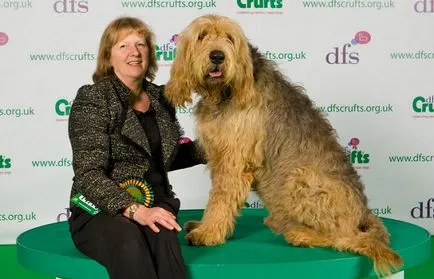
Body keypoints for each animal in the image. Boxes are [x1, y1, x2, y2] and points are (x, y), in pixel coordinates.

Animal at [164, 14, 402, 276]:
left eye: (229, 38)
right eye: (202, 36)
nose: (217, 56)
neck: (225, 92)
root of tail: (365, 212)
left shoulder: (234, 161)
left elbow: (221, 199)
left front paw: (208, 233)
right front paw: (204, 225)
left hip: (299, 179)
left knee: (348, 238)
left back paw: (300, 233)